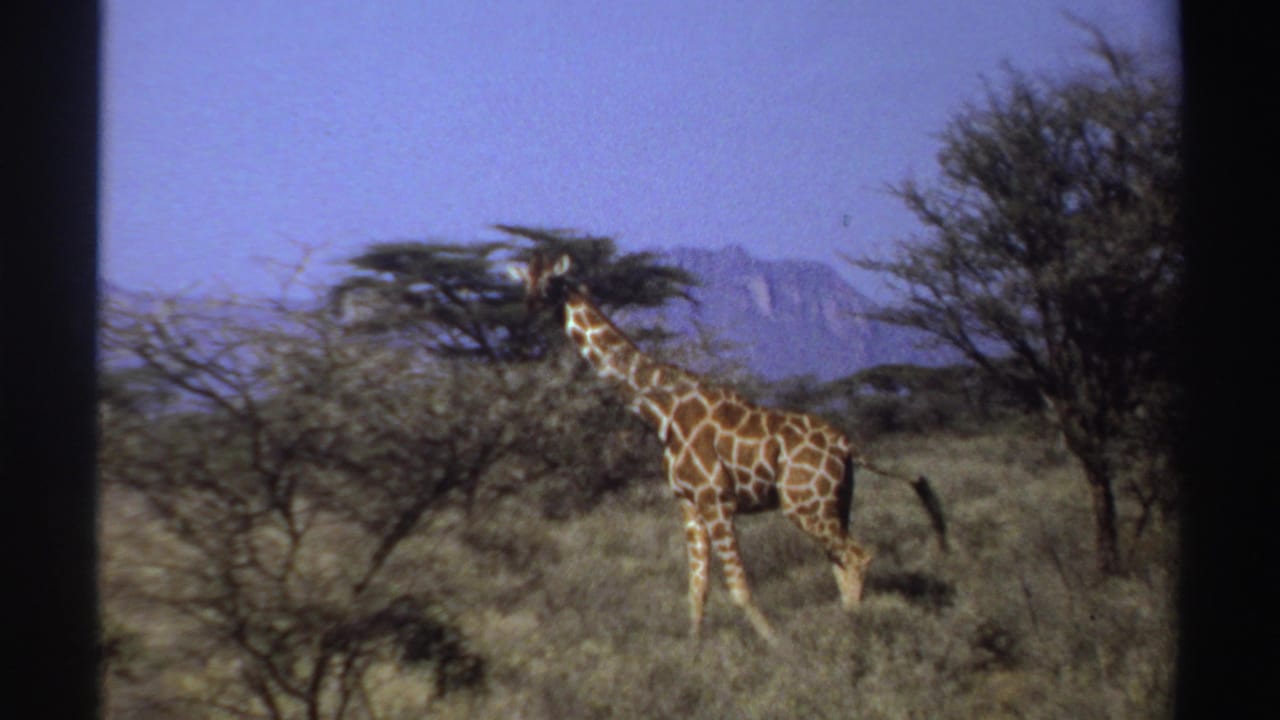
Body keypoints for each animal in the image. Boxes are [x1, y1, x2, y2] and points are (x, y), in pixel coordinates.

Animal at [509, 254, 948, 646]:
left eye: (550, 281)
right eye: (525, 280)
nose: (526, 311)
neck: (663, 410)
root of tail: (848, 444)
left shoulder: (717, 500)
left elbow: (738, 586)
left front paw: (775, 642)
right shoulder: (688, 503)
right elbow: (697, 588)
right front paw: (695, 652)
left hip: (805, 505)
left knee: (858, 556)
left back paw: (854, 631)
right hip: (835, 503)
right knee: (841, 562)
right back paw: (845, 623)